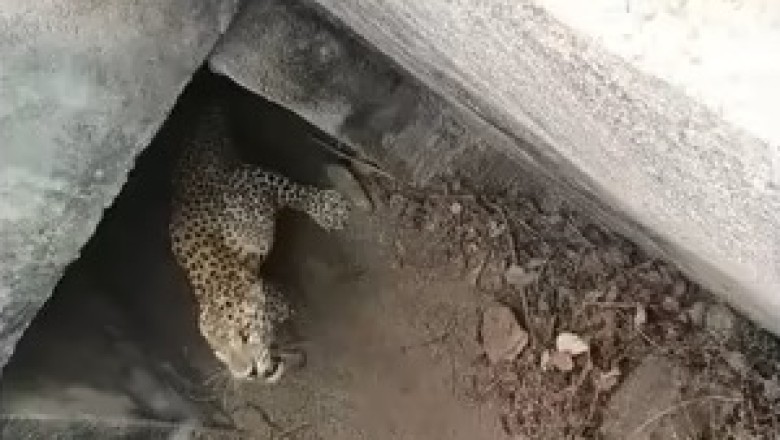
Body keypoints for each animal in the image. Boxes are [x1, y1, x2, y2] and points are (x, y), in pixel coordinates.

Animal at [169, 104, 349, 382]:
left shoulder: (249, 179)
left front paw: (328, 208)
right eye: (218, 353)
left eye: (244, 334)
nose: (247, 374)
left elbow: (292, 190)